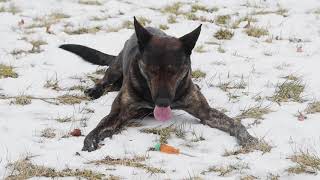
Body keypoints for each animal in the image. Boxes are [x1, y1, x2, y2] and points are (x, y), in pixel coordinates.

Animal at [59, 17, 258, 152]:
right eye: (152, 70)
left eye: (174, 71)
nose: (162, 102)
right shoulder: (119, 113)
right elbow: (102, 124)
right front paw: (90, 140)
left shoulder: (205, 112)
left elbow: (234, 122)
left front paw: (247, 138)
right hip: (115, 68)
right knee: (105, 79)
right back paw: (95, 89)